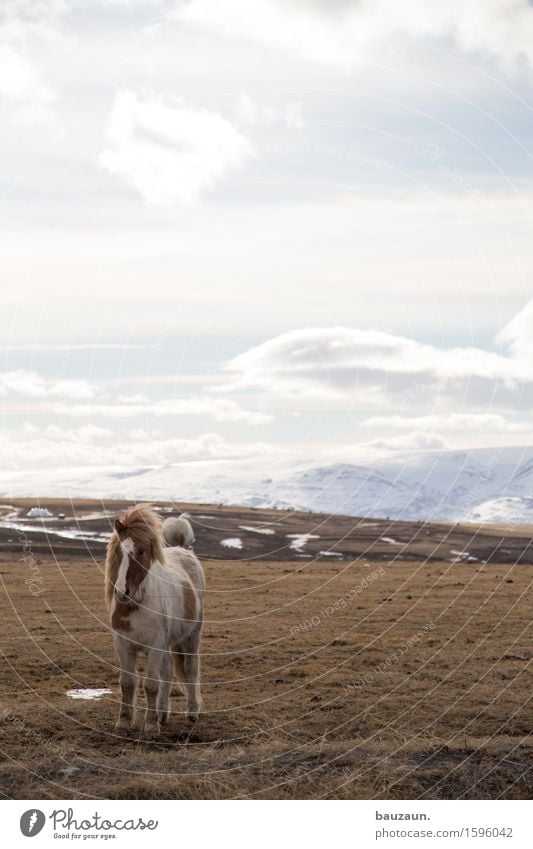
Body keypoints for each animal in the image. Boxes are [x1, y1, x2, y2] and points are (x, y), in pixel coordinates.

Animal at [105, 504, 205, 736]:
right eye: (119, 551)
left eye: (141, 551)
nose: (122, 592)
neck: (136, 605)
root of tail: (183, 550)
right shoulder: (123, 645)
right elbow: (127, 683)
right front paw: (123, 722)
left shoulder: (154, 646)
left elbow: (150, 684)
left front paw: (150, 726)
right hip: (167, 645)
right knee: (167, 672)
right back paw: (162, 713)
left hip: (191, 636)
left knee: (191, 668)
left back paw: (191, 712)